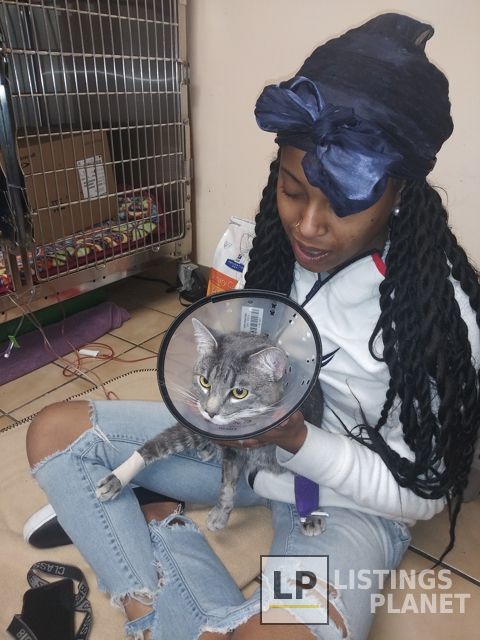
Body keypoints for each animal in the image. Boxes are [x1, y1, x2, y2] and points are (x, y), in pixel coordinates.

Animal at [96, 317, 325, 536]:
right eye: (205, 381)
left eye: (239, 392)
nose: (210, 412)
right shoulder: (232, 451)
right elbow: (227, 485)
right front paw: (220, 515)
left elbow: (310, 478)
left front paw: (312, 515)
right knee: (155, 445)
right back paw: (115, 479)